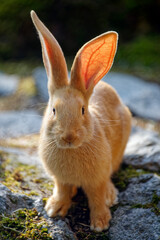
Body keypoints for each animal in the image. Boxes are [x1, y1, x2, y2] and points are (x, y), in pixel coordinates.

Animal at [30, 10, 131, 232]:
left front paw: (100, 223)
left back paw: (111, 195)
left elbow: (96, 198)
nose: (69, 137)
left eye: (83, 110)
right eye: (53, 110)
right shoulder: (61, 179)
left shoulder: (97, 179)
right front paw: (54, 209)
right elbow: (62, 190)